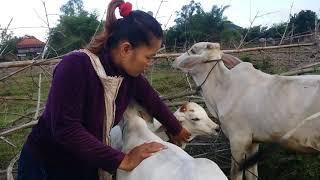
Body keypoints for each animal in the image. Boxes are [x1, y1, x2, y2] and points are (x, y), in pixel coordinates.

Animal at [172, 41, 320, 180]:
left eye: (193, 50)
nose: (174, 60)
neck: (223, 89)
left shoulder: (238, 140)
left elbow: (236, 174)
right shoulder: (254, 142)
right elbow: (252, 174)